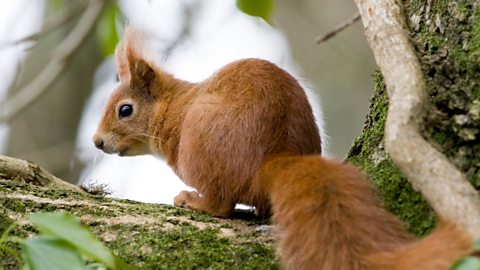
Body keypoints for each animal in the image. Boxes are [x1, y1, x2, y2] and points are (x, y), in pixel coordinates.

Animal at [94, 26, 472, 268]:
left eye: (125, 110)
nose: (97, 142)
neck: (175, 107)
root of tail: (273, 160)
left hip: (199, 152)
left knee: (220, 204)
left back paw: (193, 199)